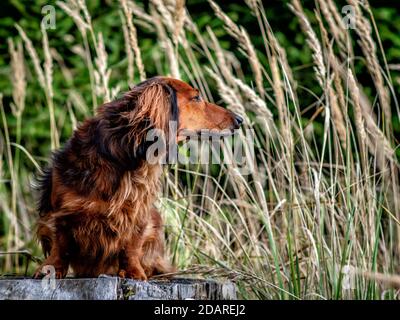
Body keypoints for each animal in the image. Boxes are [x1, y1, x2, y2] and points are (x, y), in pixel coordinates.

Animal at [34, 76, 242, 278]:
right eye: (196, 98)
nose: (240, 120)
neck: (124, 157)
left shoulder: (139, 213)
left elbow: (131, 246)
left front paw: (133, 272)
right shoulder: (61, 213)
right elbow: (60, 245)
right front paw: (51, 268)